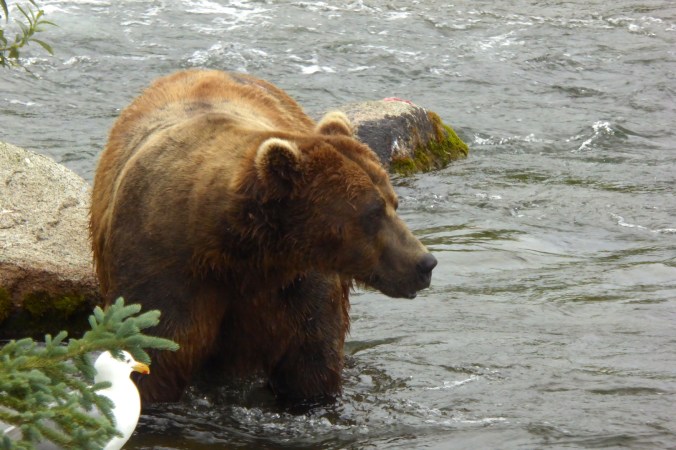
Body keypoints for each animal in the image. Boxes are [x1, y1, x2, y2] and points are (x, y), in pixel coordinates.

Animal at [90, 69, 437, 404]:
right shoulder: (164, 268)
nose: (425, 262)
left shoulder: (297, 287)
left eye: (394, 202)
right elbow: (154, 358)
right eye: (372, 212)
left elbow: (309, 365)